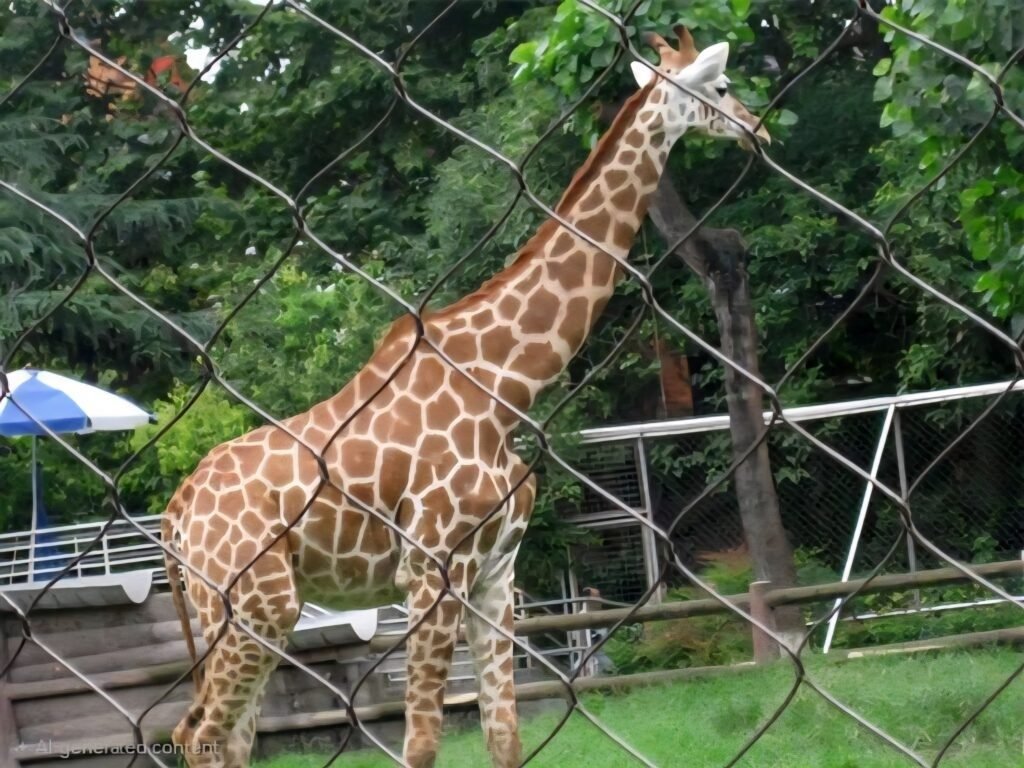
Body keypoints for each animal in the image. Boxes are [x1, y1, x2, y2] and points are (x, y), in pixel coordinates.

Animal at [162, 26, 769, 768]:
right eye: (720, 86)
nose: (758, 128)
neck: (507, 386)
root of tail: (177, 514)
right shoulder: (434, 565)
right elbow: (421, 740)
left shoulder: (495, 572)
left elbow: (503, 734)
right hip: (258, 602)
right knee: (198, 733)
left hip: (239, 608)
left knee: (227, 737)